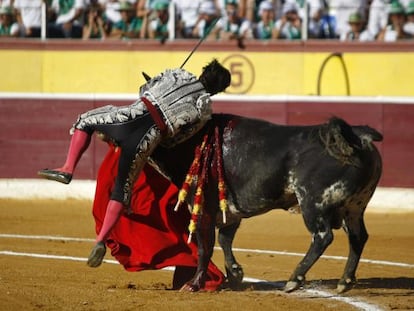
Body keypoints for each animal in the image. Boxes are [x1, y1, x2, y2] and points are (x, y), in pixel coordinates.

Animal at [150, 113, 384, 294]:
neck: (192, 141)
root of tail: (357, 137)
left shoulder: (202, 208)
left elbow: (204, 246)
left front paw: (194, 284)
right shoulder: (231, 211)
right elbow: (225, 239)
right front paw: (235, 274)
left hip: (313, 203)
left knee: (323, 237)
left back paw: (294, 279)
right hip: (354, 208)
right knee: (358, 237)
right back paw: (344, 281)